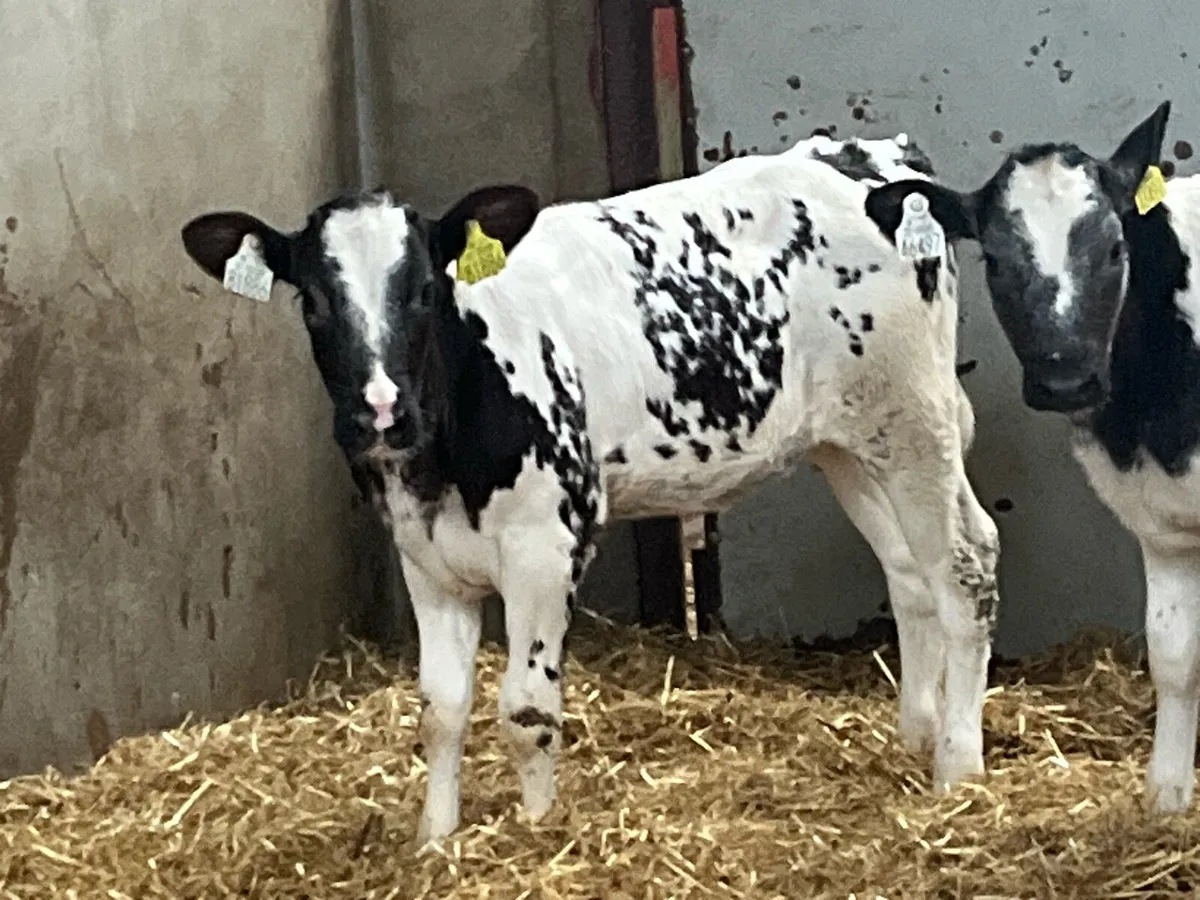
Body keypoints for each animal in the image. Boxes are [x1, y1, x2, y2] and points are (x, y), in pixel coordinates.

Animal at [179, 140, 1000, 844]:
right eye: (313, 301)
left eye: (423, 291)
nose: (381, 411)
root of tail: (869, 160)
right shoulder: (425, 558)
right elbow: (441, 710)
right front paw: (435, 840)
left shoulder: (548, 541)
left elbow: (526, 708)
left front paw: (539, 829)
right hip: (849, 445)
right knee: (910, 573)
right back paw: (915, 737)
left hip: (913, 418)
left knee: (965, 564)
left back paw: (958, 768)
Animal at [864, 100, 1200, 816]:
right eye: (993, 258)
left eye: (1114, 248)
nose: (1066, 380)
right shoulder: (1163, 523)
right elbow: (1173, 655)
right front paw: (1166, 799)